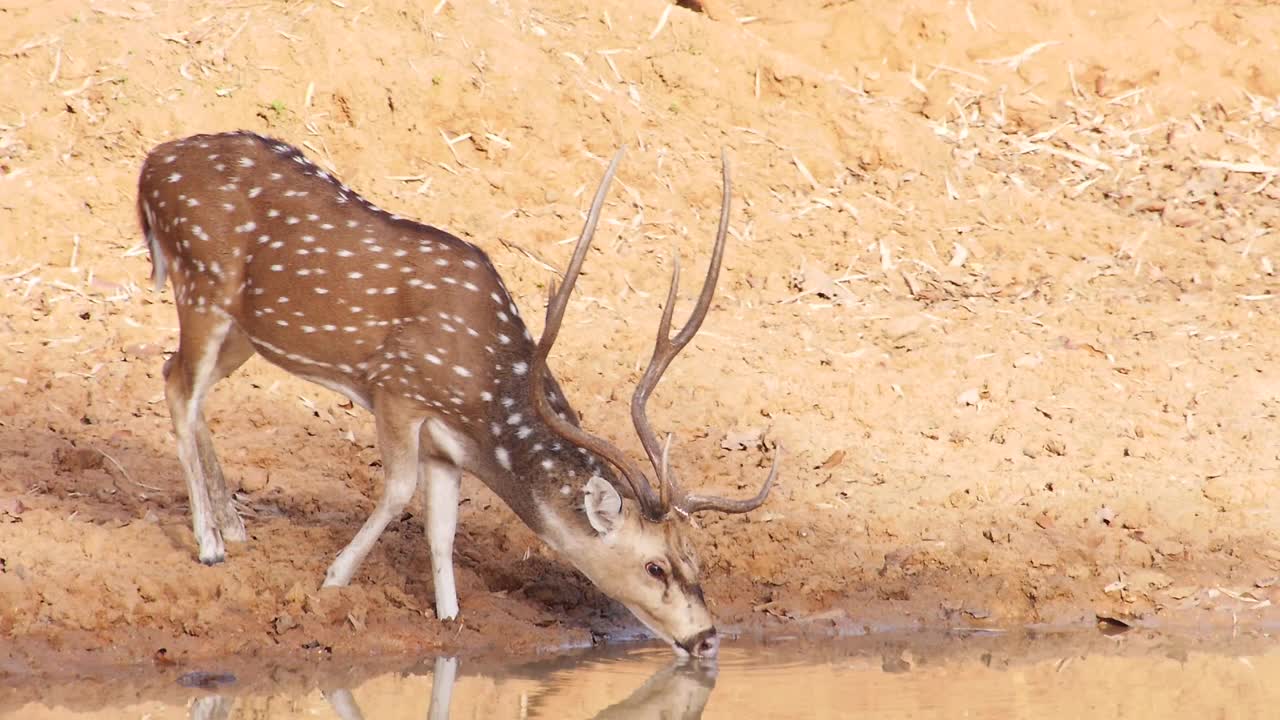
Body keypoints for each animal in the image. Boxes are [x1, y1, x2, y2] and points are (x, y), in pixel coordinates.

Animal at [140, 130, 778, 655]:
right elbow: (399, 492)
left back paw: (233, 525)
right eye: (654, 568)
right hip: (201, 286)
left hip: (244, 330)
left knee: (181, 379)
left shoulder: (446, 447)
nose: (707, 638)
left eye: (697, 557)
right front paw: (334, 579)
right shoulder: (396, 389)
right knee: (177, 388)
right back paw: (209, 544)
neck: (483, 401)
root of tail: (149, 166)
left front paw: (448, 618)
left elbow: (441, 530)